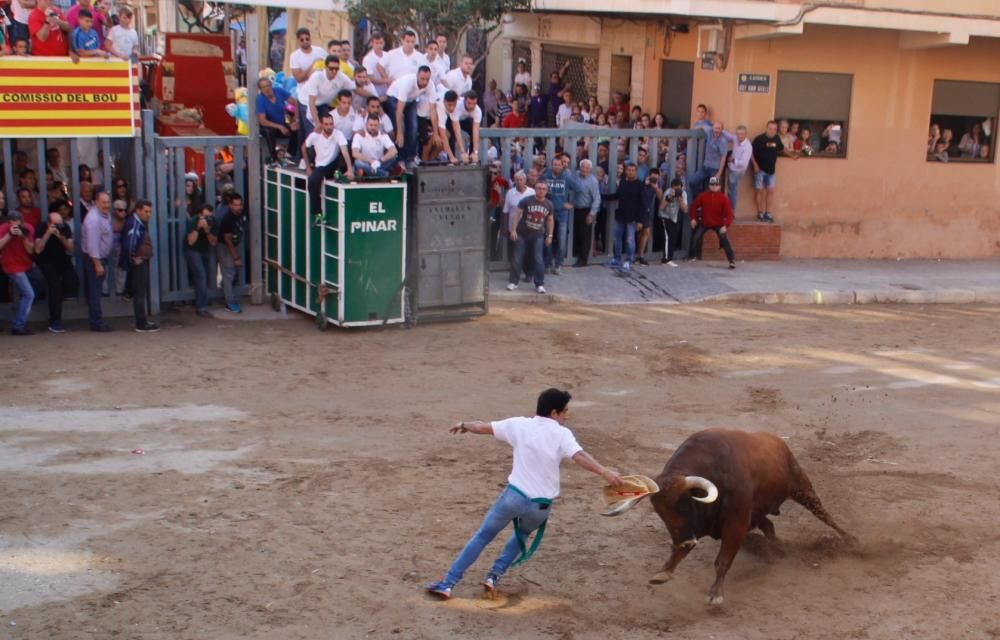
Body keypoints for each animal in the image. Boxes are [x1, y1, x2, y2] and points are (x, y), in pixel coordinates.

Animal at [612, 430, 856, 604]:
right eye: (659, 511)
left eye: (684, 505)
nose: (684, 539)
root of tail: (777, 441)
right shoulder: (695, 528)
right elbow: (681, 551)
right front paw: (663, 573)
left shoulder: (735, 523)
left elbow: (722, 560)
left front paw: (715, 595)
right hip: (758, 512)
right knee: (769, 526)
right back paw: (777, 550)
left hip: (801, 487)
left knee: (824, 514)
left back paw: (852, 541)